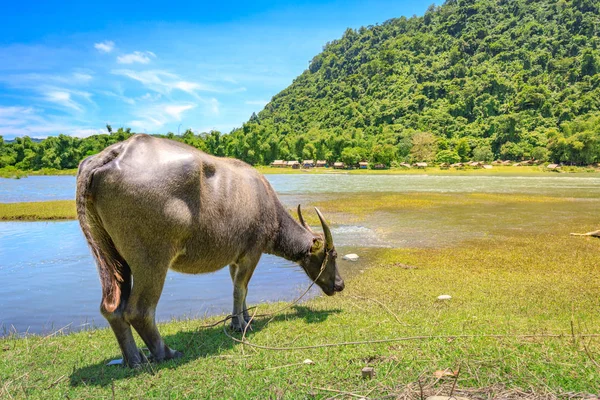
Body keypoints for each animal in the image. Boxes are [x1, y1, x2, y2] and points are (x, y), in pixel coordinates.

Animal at [77, 134, 344, 366]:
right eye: (333, 254)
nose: (340, 284)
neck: (268, 206)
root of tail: (115, 152)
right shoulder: (252, 252)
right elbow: (240, 289)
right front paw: (238, 325)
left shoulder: (235, 258)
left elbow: (241, 290)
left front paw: (246, 319)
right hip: (151, 259)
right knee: (138, 311)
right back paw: (166, 353)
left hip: (113, 256)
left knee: (113, 309)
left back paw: (134, 359)